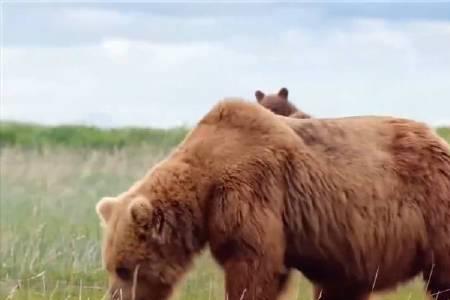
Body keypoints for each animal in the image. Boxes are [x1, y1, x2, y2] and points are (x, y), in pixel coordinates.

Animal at [96, 99, 448, 300]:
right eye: (109, 266)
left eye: (125, 269)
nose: (114, 297)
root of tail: (438, 140)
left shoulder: (250, 191)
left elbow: (253, 266)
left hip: (432, 208)